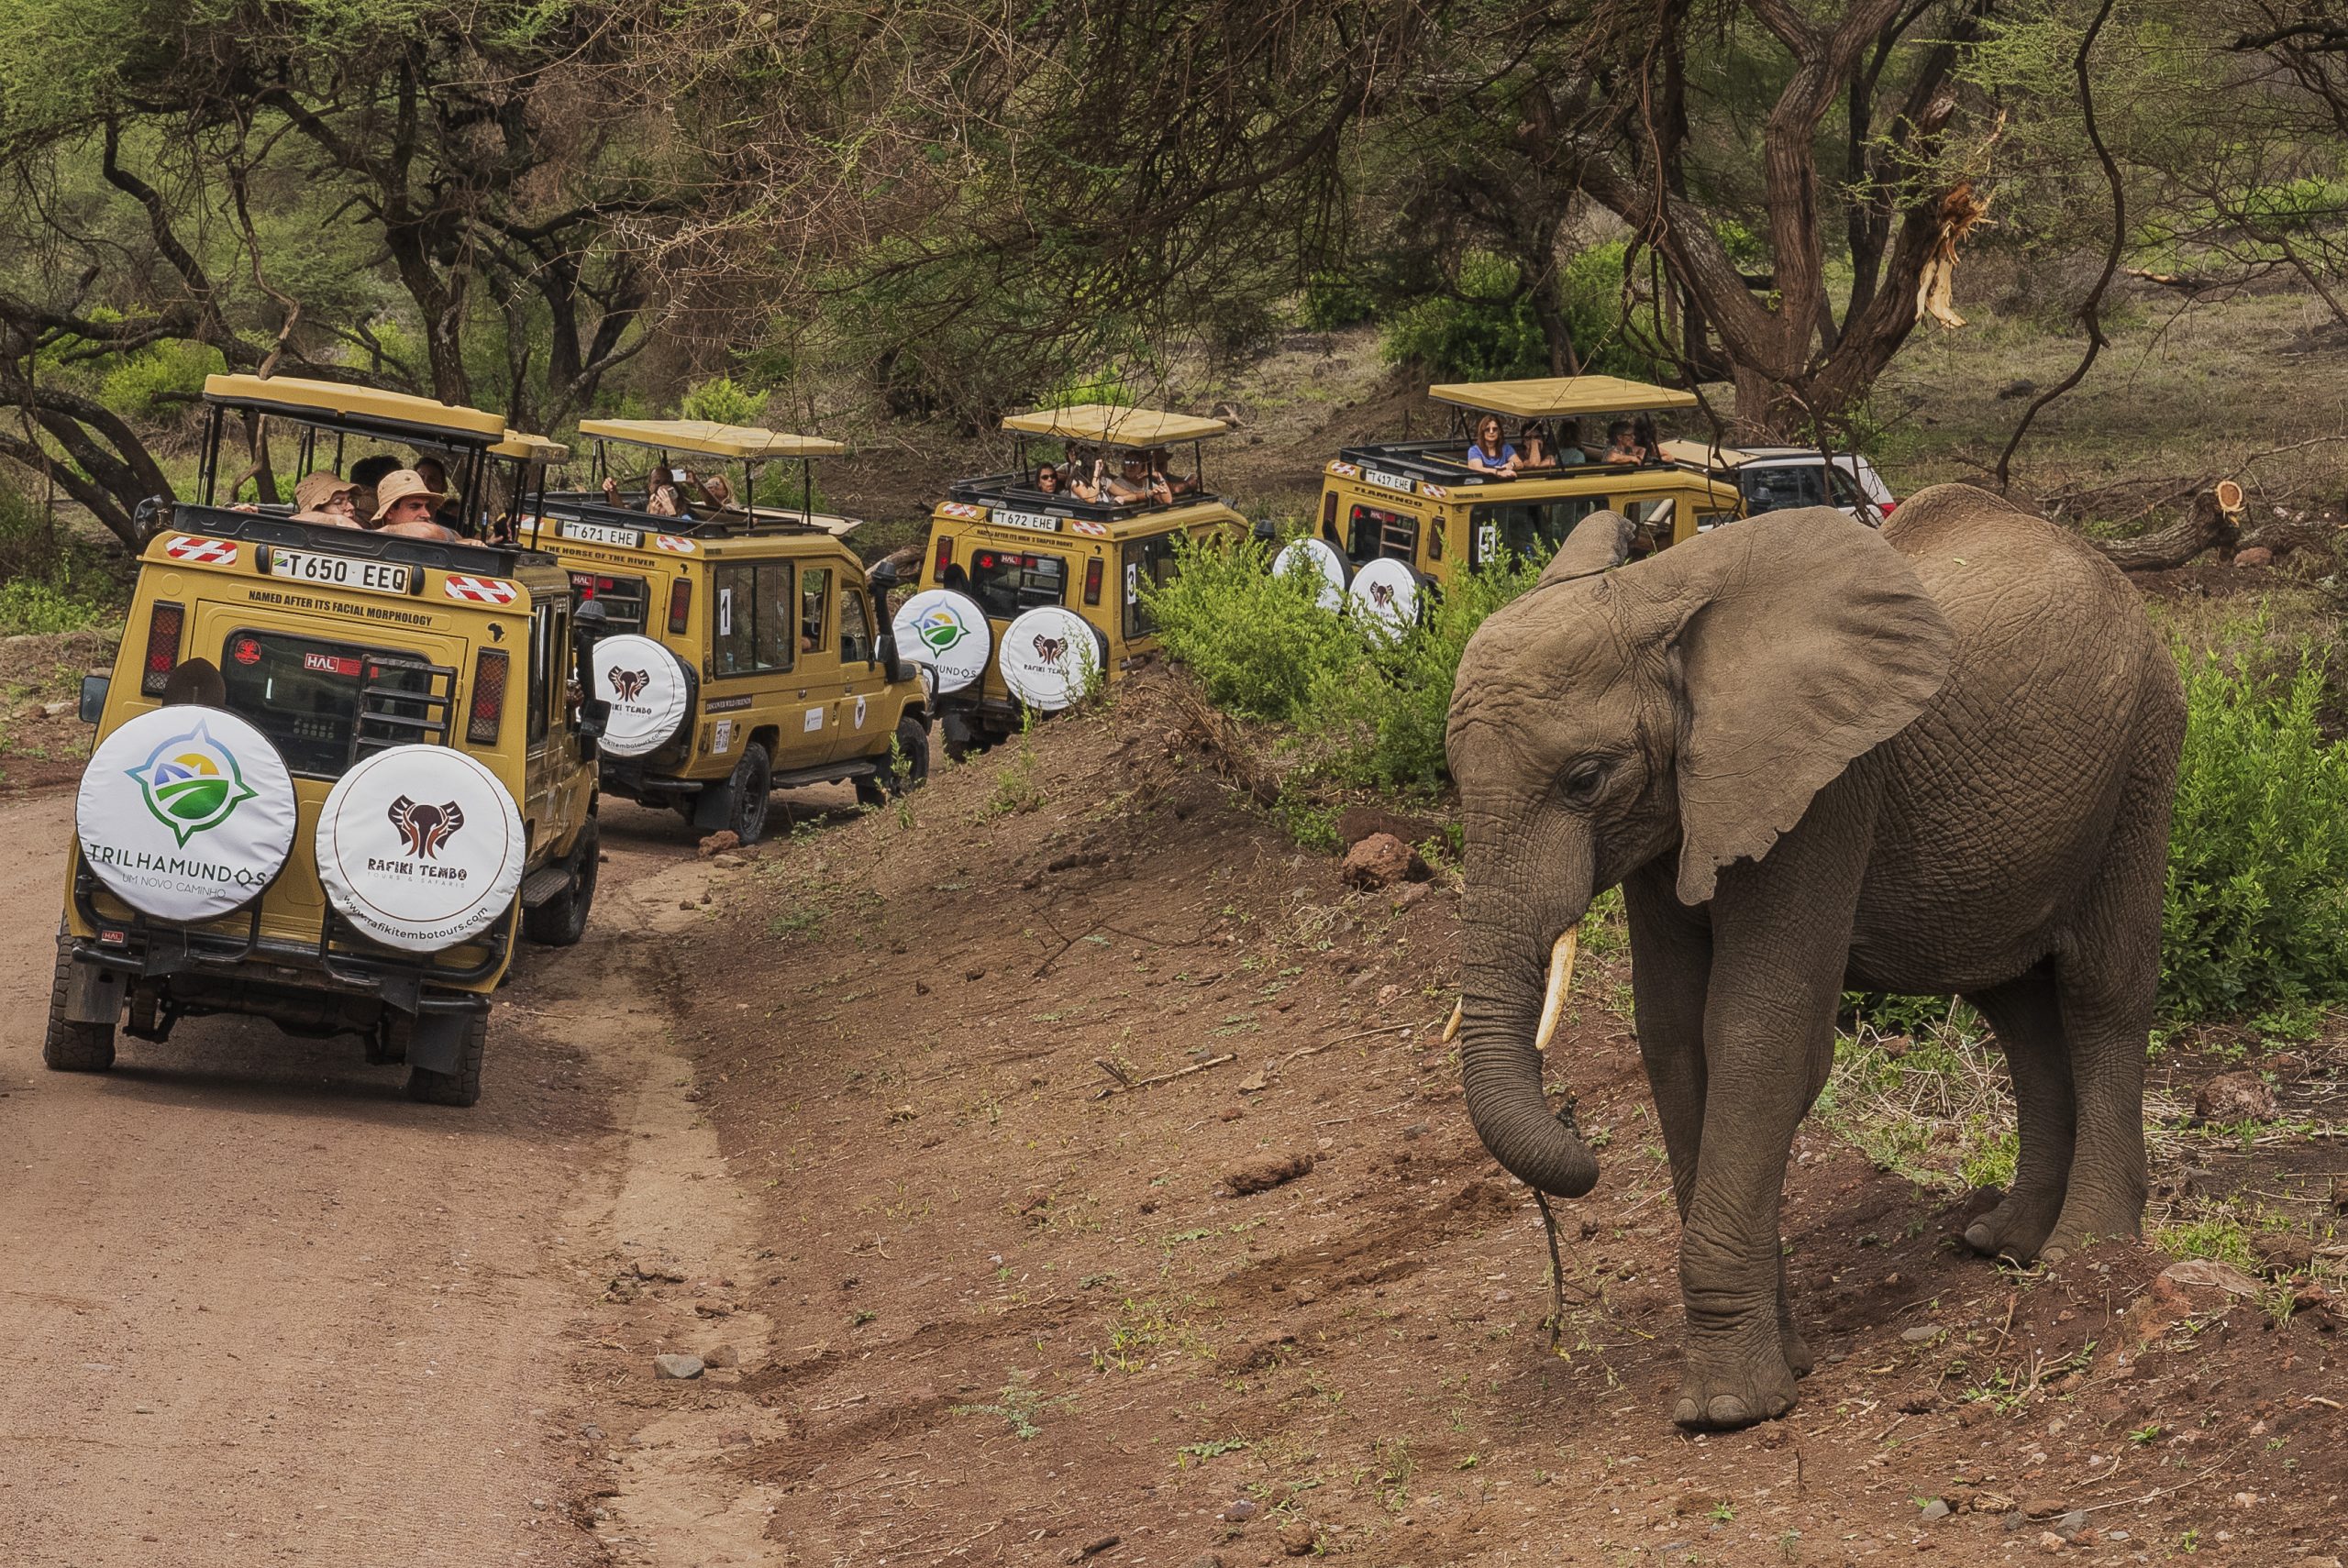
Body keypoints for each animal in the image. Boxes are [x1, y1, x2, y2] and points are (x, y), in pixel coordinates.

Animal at [1444, 484, 2183, 1432]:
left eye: (1585, 779)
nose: (1577, 1139)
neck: (1655, 596)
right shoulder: (1678, 811)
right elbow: (1673, 1033)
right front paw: (1783, 1363)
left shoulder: (1828, 786)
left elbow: (1758, 1033)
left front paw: (1727, 1411)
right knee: (2014, 1003)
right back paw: (2004, 1244)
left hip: (2145, 752)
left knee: (2100, 991)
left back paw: (2080, 1251)